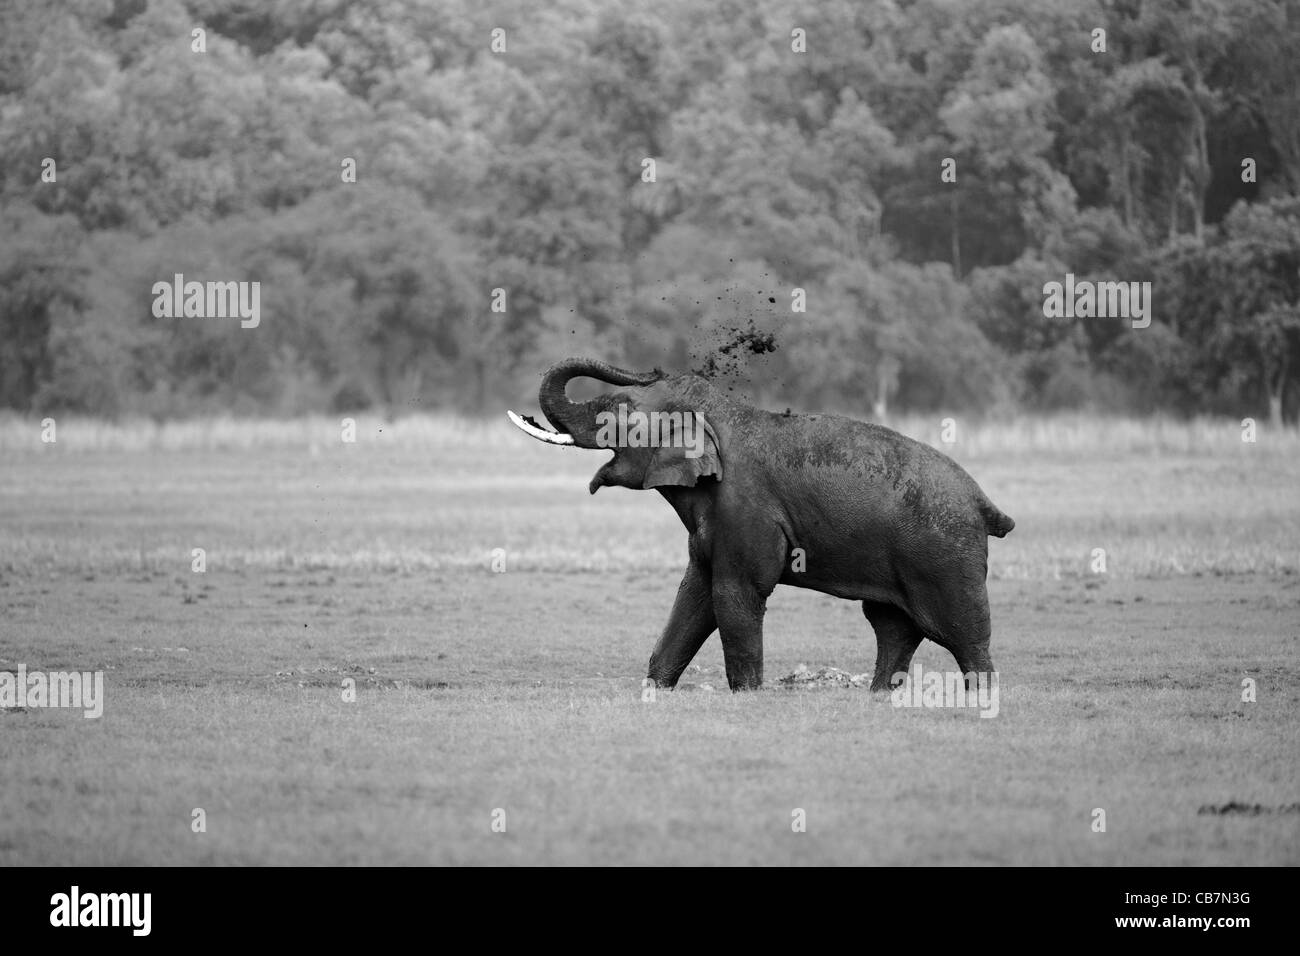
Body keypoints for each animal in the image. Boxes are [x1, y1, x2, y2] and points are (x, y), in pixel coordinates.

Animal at [506, 356, 1013, 691]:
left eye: (620, 413)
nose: (652, 366)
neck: (724, 414)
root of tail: (985, 503)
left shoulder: (745, 510)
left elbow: (735, 593)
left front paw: (747, 695)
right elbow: (696, 593)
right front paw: (654, 690)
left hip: (945, 557)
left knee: (959, 632)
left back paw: (979, 700)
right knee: (893, 625)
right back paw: (877, 696)